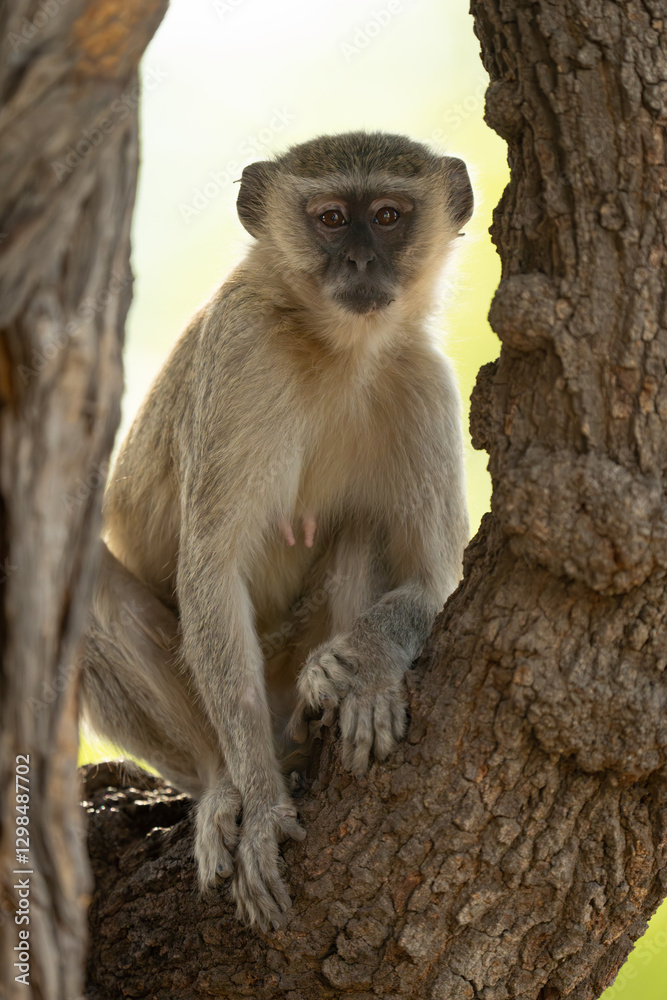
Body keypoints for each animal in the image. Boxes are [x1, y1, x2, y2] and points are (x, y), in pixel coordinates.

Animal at [79, 131, 473, 931]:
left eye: (388, 215)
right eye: (331, 218)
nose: (360, 263)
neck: (338, 349)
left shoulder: (425, 381)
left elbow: (434, 582)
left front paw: (365, 666)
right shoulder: (239, 354)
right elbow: (210, 573)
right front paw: (259, 803)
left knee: (361, 530)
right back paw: (222, 783)